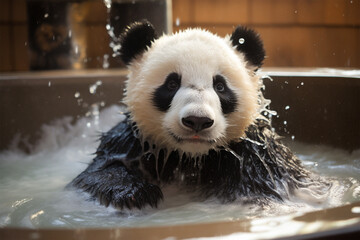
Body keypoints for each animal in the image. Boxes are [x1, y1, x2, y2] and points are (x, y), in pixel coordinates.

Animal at [69, 20, 316, 209]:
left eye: (220, 86)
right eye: (171, 84)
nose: (197, 120)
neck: (191, 158)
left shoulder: (258, 153)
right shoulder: (134, 140)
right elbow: (100, 172)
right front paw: (135, 194)